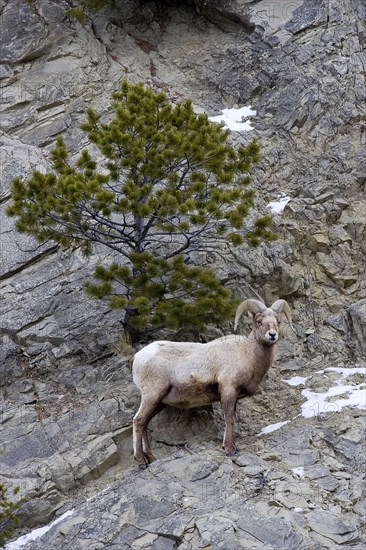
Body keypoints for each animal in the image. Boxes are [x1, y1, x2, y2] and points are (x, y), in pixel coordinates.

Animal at [132, 300, 292, 472]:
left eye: (278, 321)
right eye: (259, 321)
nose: (272, 335)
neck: (247, 354)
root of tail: (137, 358)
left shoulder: (234, 396)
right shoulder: (228, 389)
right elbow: (229, 418)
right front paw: (229, 449)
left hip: (159, 402)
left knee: (145, 423)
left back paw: (151, 459)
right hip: (152, 395)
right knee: (139, 420)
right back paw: (141, 461)